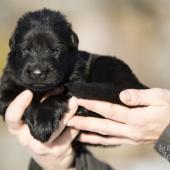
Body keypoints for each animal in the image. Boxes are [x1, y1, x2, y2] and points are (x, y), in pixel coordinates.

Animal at [0, 8, 146, 142]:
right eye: (25, 50)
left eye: (55, 50)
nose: (38, 73)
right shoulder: (6, 91)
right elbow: (25, 101)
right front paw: (37, 123)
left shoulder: (75, 80)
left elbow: (55, 97)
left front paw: (43, 122)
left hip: (107, 64)